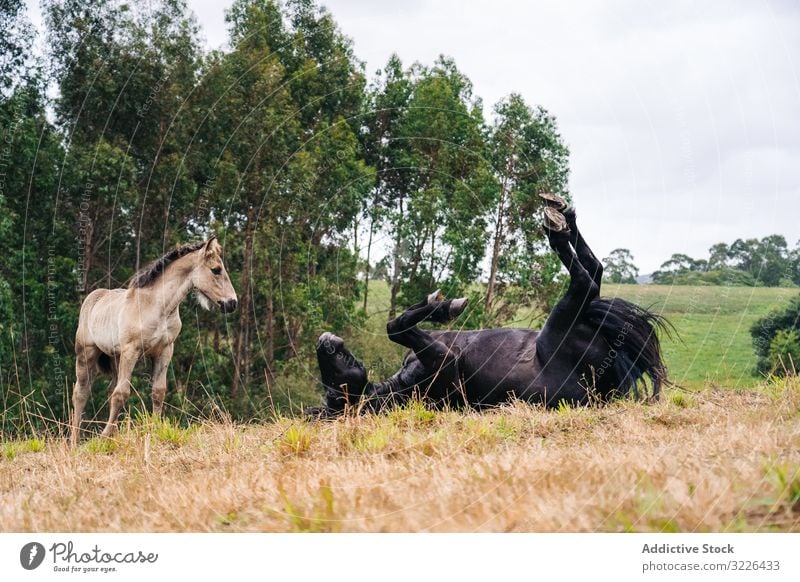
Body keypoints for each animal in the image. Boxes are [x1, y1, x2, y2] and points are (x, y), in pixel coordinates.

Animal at [316, 198, 672, 418]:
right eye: (334, 384)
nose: (324, 342)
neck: (399, 388)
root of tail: (607, 387)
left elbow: (397, 324)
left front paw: (442, 305)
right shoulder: (444, 363)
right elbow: (395, 327)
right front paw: (445, 306)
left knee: (594, 270)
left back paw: (563, 215)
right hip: (561, 321)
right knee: (586, 278)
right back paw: (557, 228)